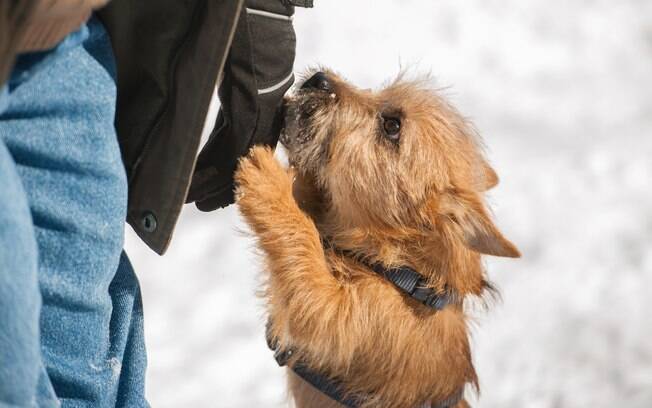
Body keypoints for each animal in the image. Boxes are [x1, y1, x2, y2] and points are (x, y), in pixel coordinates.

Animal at [234, 68, 520, 406]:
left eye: (392, 126)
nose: (319, 79)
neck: (402, 272)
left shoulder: (340, 314)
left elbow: (304, 254)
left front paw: (269, 183)